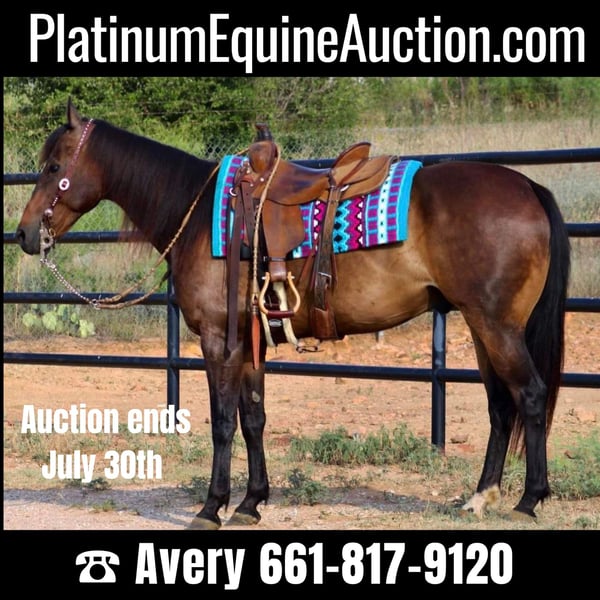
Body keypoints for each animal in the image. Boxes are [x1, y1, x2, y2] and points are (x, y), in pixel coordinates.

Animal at [15, 99, 570, 529]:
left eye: (53, 167)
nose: (23, 234)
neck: (199, 216)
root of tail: (529, 188)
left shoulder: (217, 340)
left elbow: (223, 421)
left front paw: (212, 507)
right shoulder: (248, 341)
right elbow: (254, 418)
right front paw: (251, 502)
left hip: (496, 327)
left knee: (530, 394)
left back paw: (528, 500)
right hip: (481, 327)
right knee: (500, 406)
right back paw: (480, 497)